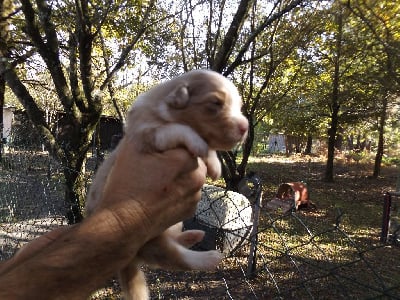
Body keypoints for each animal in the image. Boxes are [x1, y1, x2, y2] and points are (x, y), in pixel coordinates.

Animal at [86, 69, 248, 298]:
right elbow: (177, 129)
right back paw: (209, 257)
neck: (162, 104)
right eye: (215, 103)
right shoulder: (149, 134)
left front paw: (215, 164)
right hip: (151, 239)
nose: (245, 127)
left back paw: (192, 236)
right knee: (173, 258)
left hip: (171, 225)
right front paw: (200, 144)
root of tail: (129, 258)